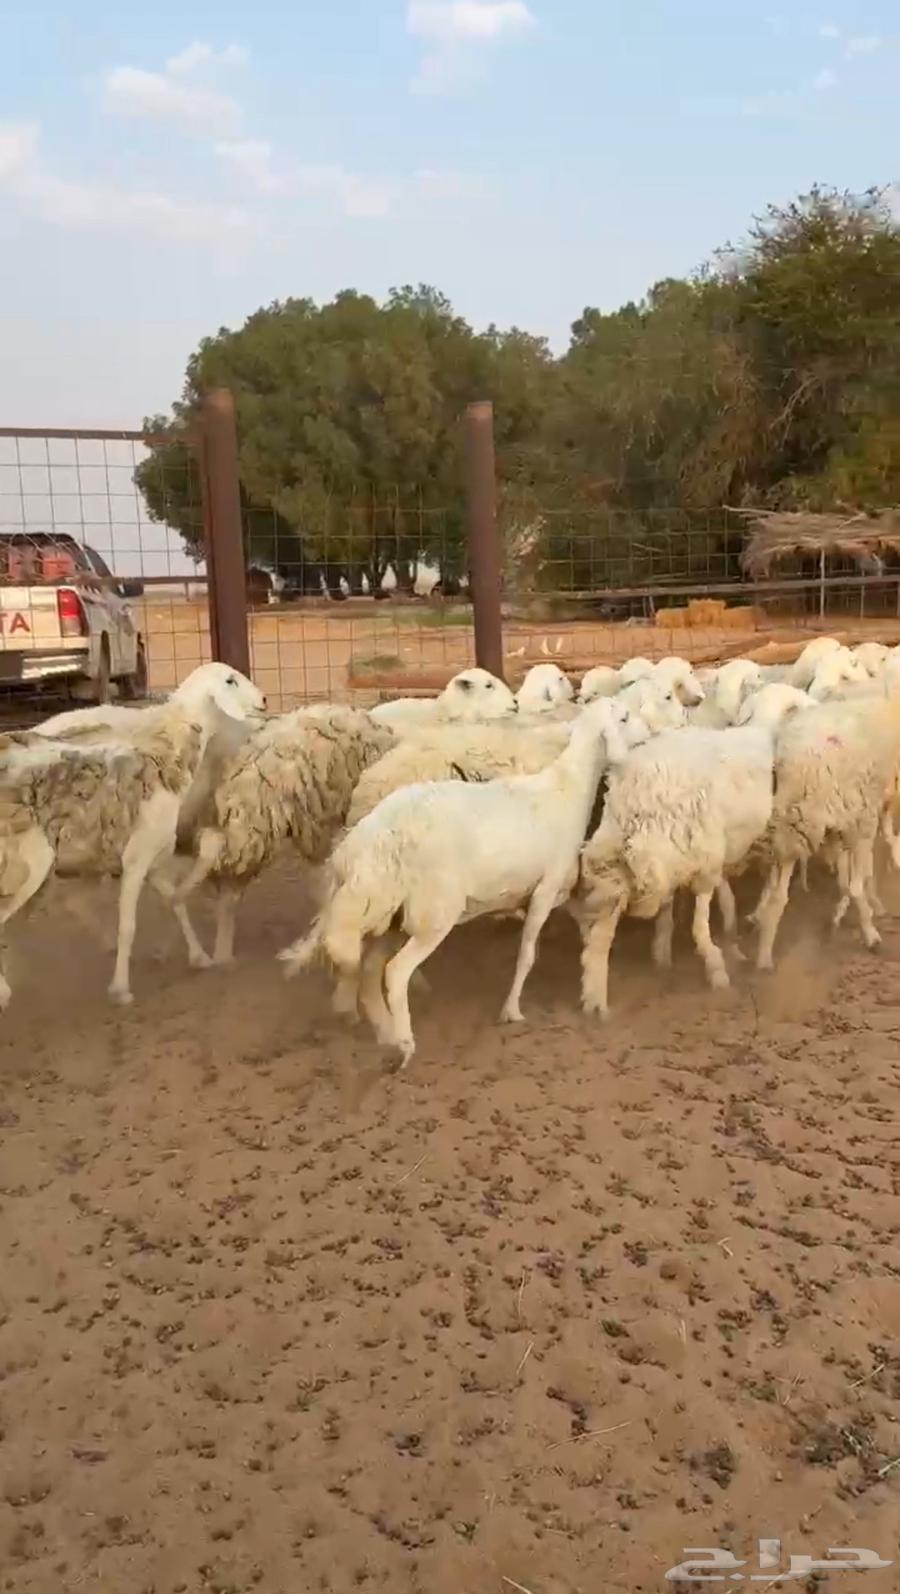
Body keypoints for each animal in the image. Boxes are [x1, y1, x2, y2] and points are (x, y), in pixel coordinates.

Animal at [0, 663, 265, 1007]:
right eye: (230, 680)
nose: (264, 700)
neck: (165, 755)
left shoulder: (153, 858)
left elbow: (175, 902)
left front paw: (199, 956)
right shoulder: (136, 858)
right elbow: (128, 926)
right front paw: (121, 988)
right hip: (31, 862)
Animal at [278, 696, 642, 1065]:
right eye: (624, 718)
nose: (645, 737)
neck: (568, 789)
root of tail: (375, 836)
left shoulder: (551, 893)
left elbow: (586, 924)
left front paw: (594, 982)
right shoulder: (545, 889)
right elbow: (527, 955)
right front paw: (511, 1010)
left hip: (392, 918)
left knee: (368, 973)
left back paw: (385, 1034)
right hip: (434, 913)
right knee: (395, 972)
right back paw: (404, 1043)